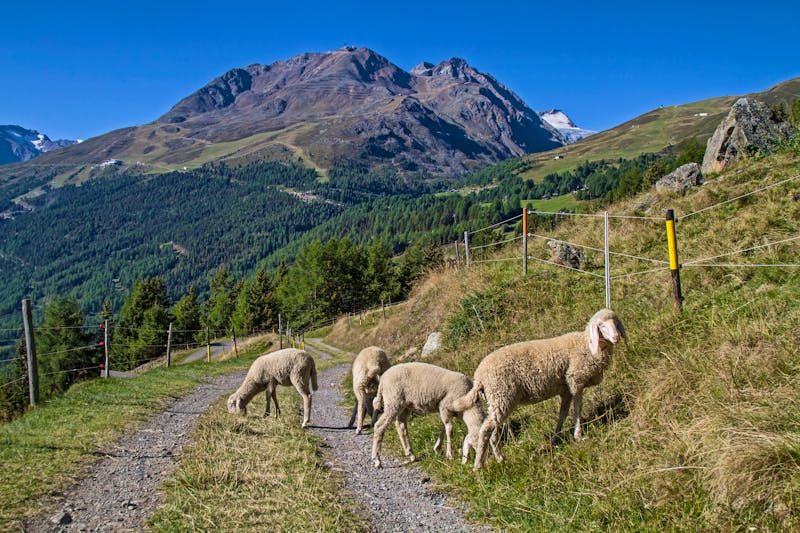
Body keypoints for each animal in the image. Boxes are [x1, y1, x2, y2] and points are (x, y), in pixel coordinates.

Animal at [452, 308, 626, 470]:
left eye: (616, 322)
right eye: (601, 325)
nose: (616, 338)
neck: (586, 345)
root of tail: (479, 376)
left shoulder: (566, 390)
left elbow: (562, 414)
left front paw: (556, 438)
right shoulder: (576, 380)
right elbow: (577, 409)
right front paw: (578, 435)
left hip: (496, 400)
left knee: (492, 431)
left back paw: (501, 458)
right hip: (501, 395)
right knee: (486, 430)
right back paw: (478, 465)